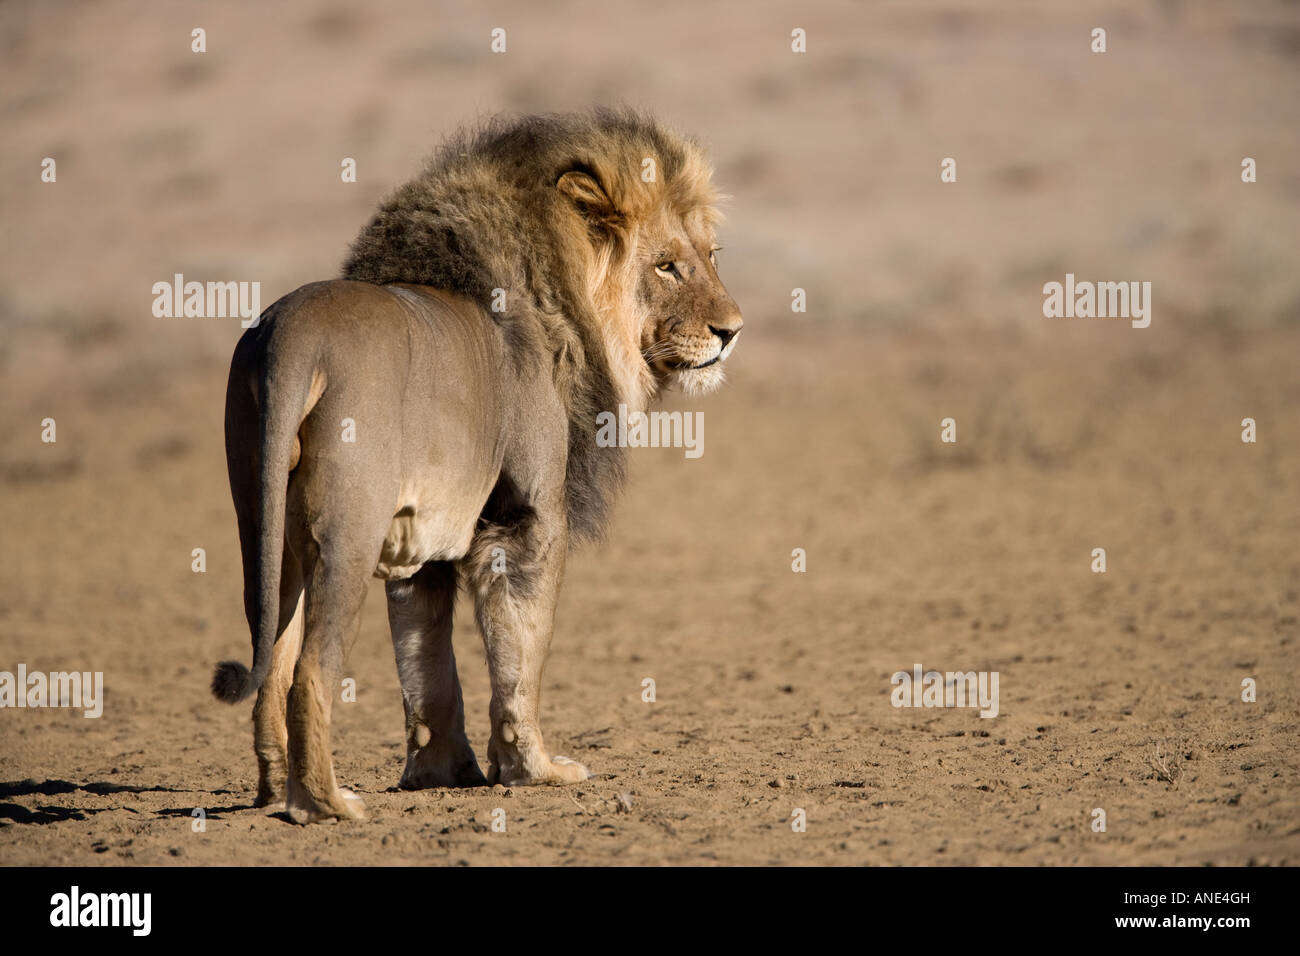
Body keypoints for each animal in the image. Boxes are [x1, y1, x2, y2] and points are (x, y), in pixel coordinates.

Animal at [211, 106, 743, 822]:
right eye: (666, 267)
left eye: (710, 258)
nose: (732, 330)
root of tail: (290, 338)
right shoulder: (528, 519)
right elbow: (521, 655)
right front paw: (535, 771)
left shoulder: (424, 541)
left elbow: (427, 666)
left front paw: (441, 772)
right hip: (349, 534)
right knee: (310, 672)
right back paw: (327, 805)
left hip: (264, 530)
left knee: (274, 659)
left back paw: (274, 792)